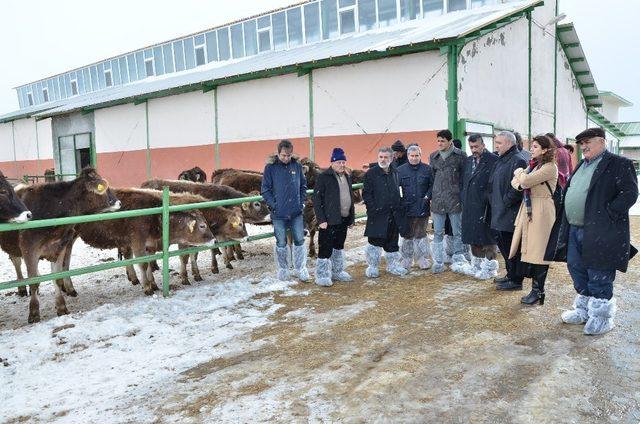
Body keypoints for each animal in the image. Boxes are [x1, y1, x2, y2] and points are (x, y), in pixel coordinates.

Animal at [0, 167, 121, 322]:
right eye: (104, 187)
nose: (119, 202)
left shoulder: (59, 246)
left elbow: (57, 277)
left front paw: (61, 306)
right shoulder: (29, 249)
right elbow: (34, 282)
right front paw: (34, 312)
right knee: (16, 261)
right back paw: (21, 288)